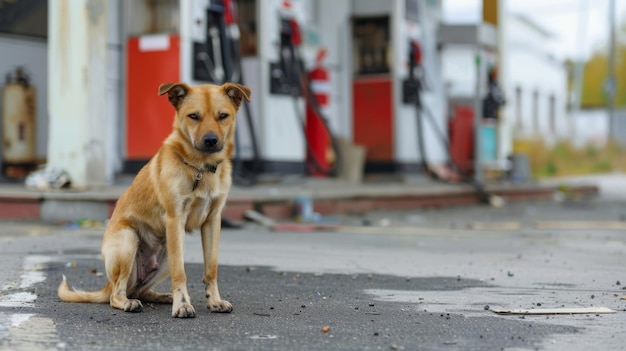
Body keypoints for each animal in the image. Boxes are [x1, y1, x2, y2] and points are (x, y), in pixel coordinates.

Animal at [57, 82, 250, 320]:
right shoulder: (175, 219)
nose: (211, 141)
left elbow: (211, 268)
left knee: (140, 290)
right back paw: (130, 302)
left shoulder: (213, 221)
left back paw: (163, 296)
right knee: (117, 295)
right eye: (193, 116)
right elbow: (180, 273)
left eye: (223, 116)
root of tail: (107, 285)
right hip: (129, 240)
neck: (201, 167)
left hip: (165, 253)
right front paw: (182, 305)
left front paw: (214, 301)